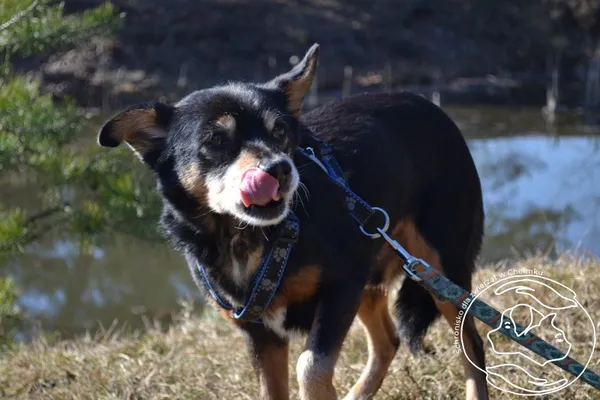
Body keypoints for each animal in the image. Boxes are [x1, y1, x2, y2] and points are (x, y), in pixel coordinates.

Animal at [98, 44, 490, 400]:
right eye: (216, 139)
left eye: (280, 132)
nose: (279, 169)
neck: (248, 238)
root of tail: (433, 107)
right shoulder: (261, 334)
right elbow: (274, 389)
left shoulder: (340, 289)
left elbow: (310, 367)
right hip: (373, 276)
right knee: (387, 341)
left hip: (441, 267)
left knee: (471, 344)